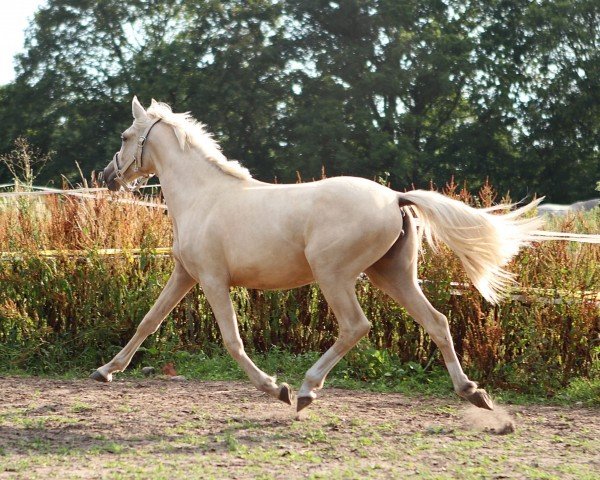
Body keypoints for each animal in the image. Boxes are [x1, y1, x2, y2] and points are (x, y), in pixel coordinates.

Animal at [94, 96, 600, 412]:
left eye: (124, 136)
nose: (106, 176)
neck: (205, 197)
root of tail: (395, 197)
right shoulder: (185, 274)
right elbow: (148, 321)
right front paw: (105, 372)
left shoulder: (215, 282)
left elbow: (232, 342)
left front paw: (274, 388)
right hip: (391, 275)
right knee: (437, 322)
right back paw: (472, 392)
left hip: (334, 275)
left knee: (357, 326)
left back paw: (304, 391)